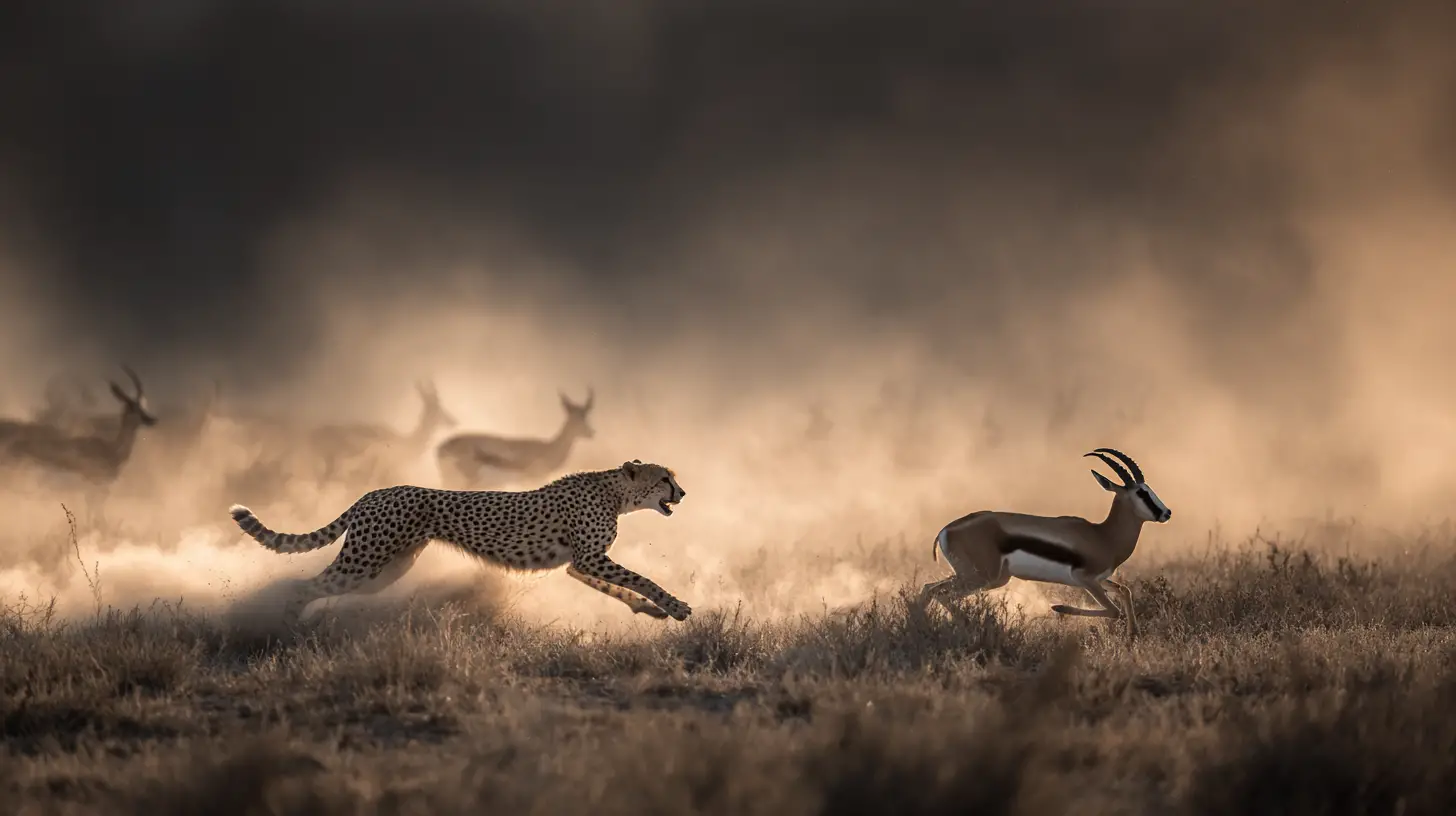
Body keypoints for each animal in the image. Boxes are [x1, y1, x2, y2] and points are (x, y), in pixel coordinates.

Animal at [228, 459, 691, 626]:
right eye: (664, 478)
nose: (683, 493)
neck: (616, 493)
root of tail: (375, 492)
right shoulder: (592, 557)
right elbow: (641, 578)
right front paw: (675, 606)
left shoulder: (580, 563)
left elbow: (620, 588)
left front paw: (652, 611)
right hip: (364, 560)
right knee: (301, 585)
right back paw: (286, 628)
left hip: (385, 569)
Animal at [435, 388, 595, 490]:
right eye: (575, 418)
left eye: (585, 416)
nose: (591, 432)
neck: (547, 449)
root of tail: (441, 448)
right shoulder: (534, 479)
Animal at [920, 447, 1171, 637]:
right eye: (1141, 493)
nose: (1166, 513)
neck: (1104, 536)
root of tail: (945, 530)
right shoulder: (1086, 579)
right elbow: (1113, 610)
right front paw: (1058, 607)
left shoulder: (1100, 579)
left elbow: (1125, 591)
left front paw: (1133, 635)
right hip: (980, 578)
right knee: (941, 593)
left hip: (981, 577)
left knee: (928, 588)